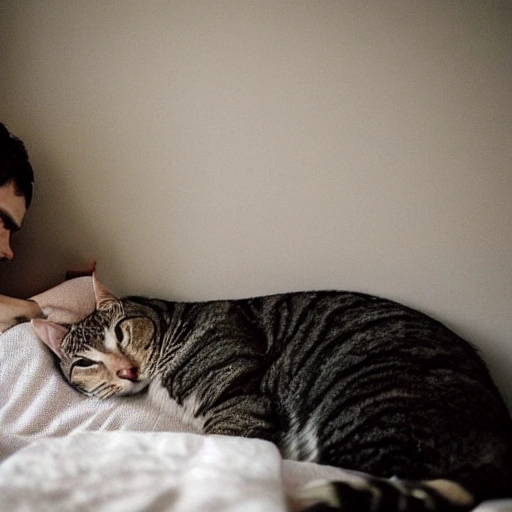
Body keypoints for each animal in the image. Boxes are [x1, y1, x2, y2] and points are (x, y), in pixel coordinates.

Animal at [33, 276, 512, 512]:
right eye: (85, 362)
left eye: (121, 331)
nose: (127, 370)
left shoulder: (239, 405)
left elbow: (221, 448)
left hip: (367, 408)